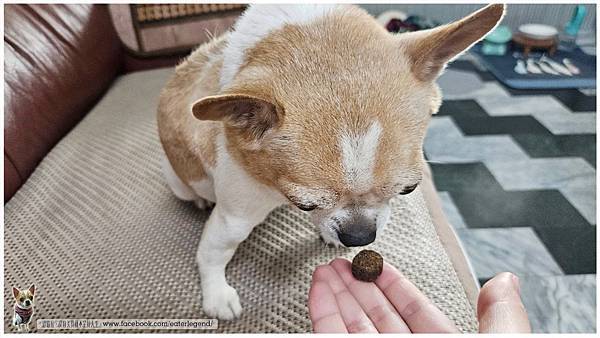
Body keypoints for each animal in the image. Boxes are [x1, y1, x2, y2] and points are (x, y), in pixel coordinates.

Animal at [157, 3, 504, 320]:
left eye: (408, 189)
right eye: (305, 203)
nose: (360, 235)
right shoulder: (235, 218)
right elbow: (213, 253)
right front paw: (216, 295)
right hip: (180, 181)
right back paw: (201, 201)